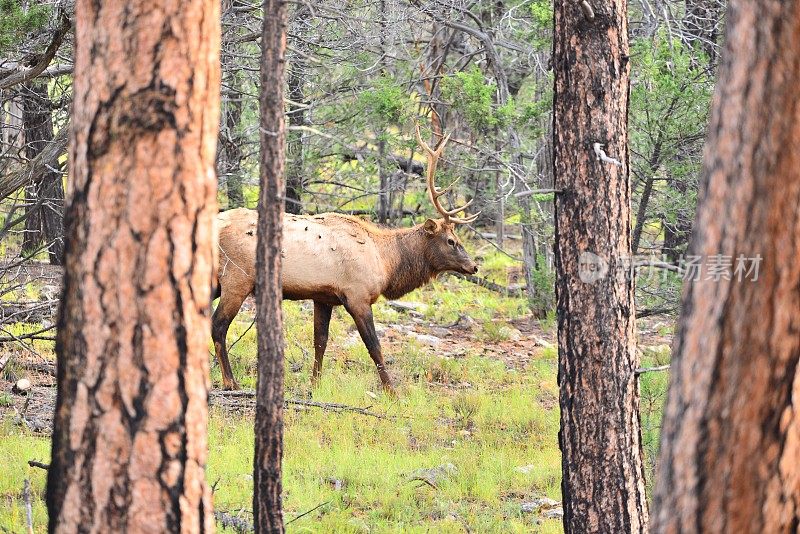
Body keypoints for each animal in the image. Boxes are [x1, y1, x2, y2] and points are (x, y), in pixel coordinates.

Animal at [209, 125, 478, 394]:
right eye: (451, 241)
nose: (473, 266)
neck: (386, 262)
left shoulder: (323, 297)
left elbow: (320, 341)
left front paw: (315, 384)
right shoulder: (357, 295)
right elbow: (374, 346)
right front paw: (391, 391)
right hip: (236, 280)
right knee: (218, 326)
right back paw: (230, 381)